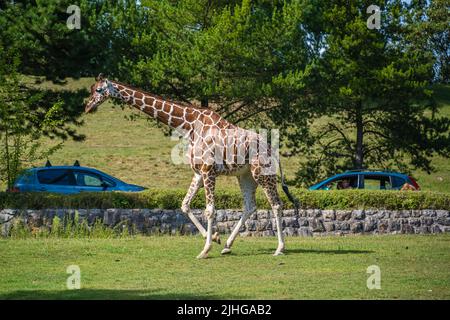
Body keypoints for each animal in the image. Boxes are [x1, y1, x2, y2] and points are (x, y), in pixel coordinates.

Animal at [86, 74, 300, 258]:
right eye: (91, 89)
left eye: (98, 90)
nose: (87, 107)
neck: (188, 126)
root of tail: (273, 149)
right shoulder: (198, 172)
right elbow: (185, 205)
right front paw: (215, 238)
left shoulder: (208, 171)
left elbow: (210, 209)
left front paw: (205, 250)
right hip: (245, 175)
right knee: (250, 206)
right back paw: (227, 246)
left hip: (262, 173)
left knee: (276, 204)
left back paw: (280, 248)